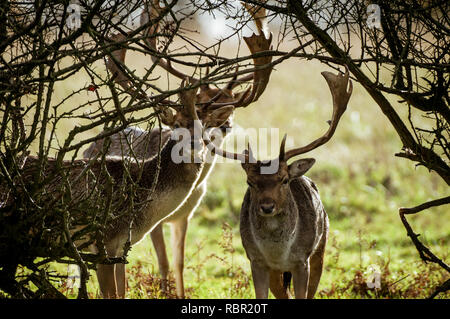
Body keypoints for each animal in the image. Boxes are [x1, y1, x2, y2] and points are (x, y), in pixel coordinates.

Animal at [206, 68, 354, 300]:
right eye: (250, 182)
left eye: (284, 180)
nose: (267, 206)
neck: (278, 253)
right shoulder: (255, 260)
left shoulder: (302, 260)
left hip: (320, 247)